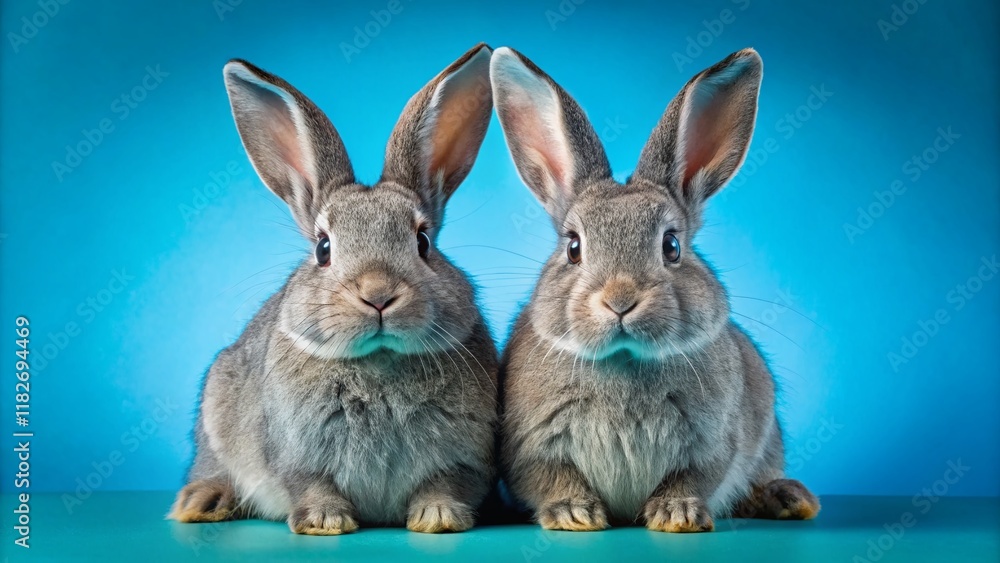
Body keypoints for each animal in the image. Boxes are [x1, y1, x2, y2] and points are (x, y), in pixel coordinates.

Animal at [169, 43, 499, 535]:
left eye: (423, 242)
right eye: (323, 248)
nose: (378, 294)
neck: (379, 362)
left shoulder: (464, 460)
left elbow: (444, 484)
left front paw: (438, 518)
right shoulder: (296, 457)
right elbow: (311, 485)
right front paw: (325, 522)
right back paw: (202, 501)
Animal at [490, 46, 820, 532]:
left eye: (672, 246)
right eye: (573, 247)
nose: (620, 300)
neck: (624, 360)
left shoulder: (713, 443)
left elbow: (693, 477)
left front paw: (676, 514)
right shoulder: (531, 446)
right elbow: (551, 478)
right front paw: (573, 514)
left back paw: (787, 498)